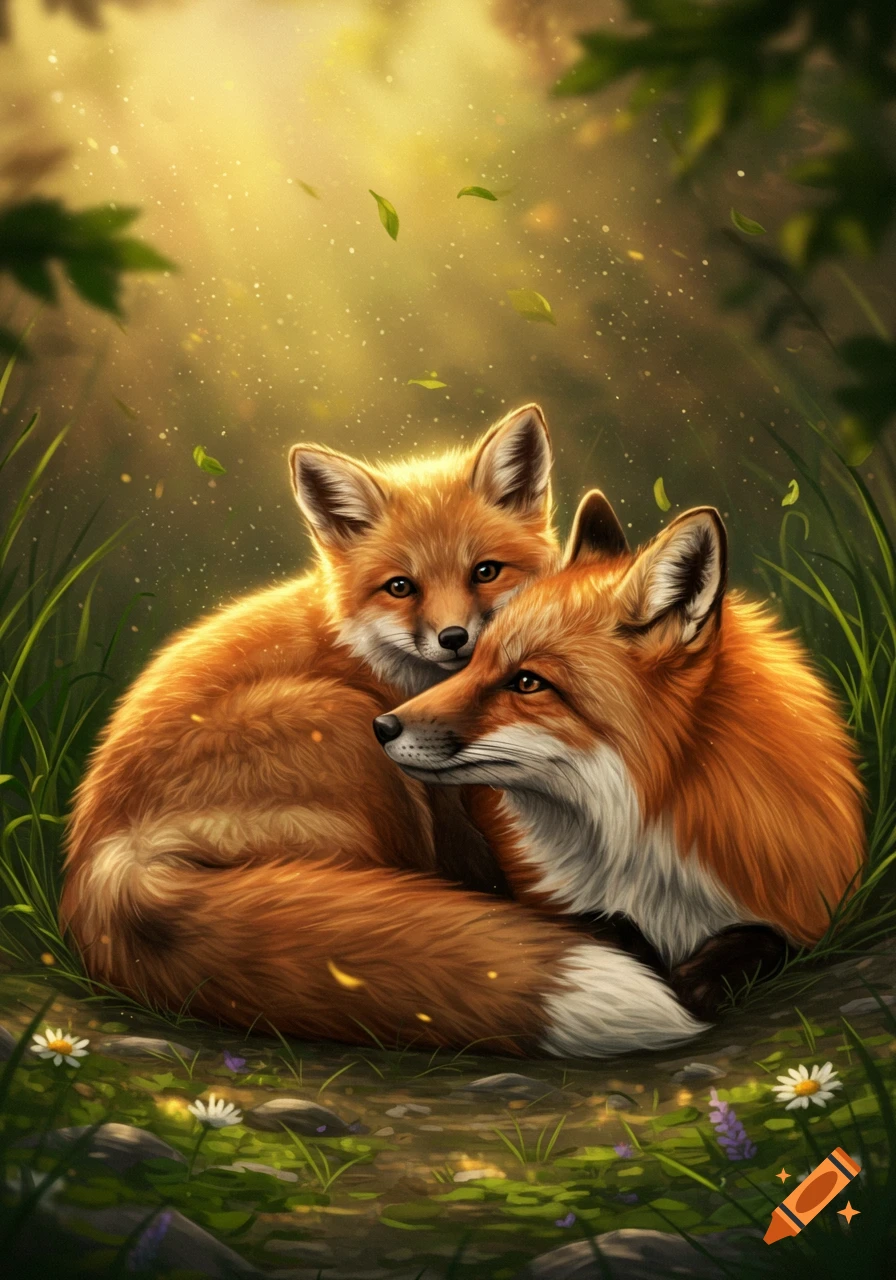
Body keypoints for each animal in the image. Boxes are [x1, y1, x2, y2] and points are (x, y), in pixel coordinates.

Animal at [60, 407, 705, 1058]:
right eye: (401, 587)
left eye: (485, 572)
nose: (454, 638)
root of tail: (101, 864)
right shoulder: (440, 786)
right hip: (348, 732)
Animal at [376, 491, 867, 1016]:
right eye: (476, 661)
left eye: (527, 682)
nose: (381, 727)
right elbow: (597, 924)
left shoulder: (815, 904)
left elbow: (769, 940)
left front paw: (703, 977)